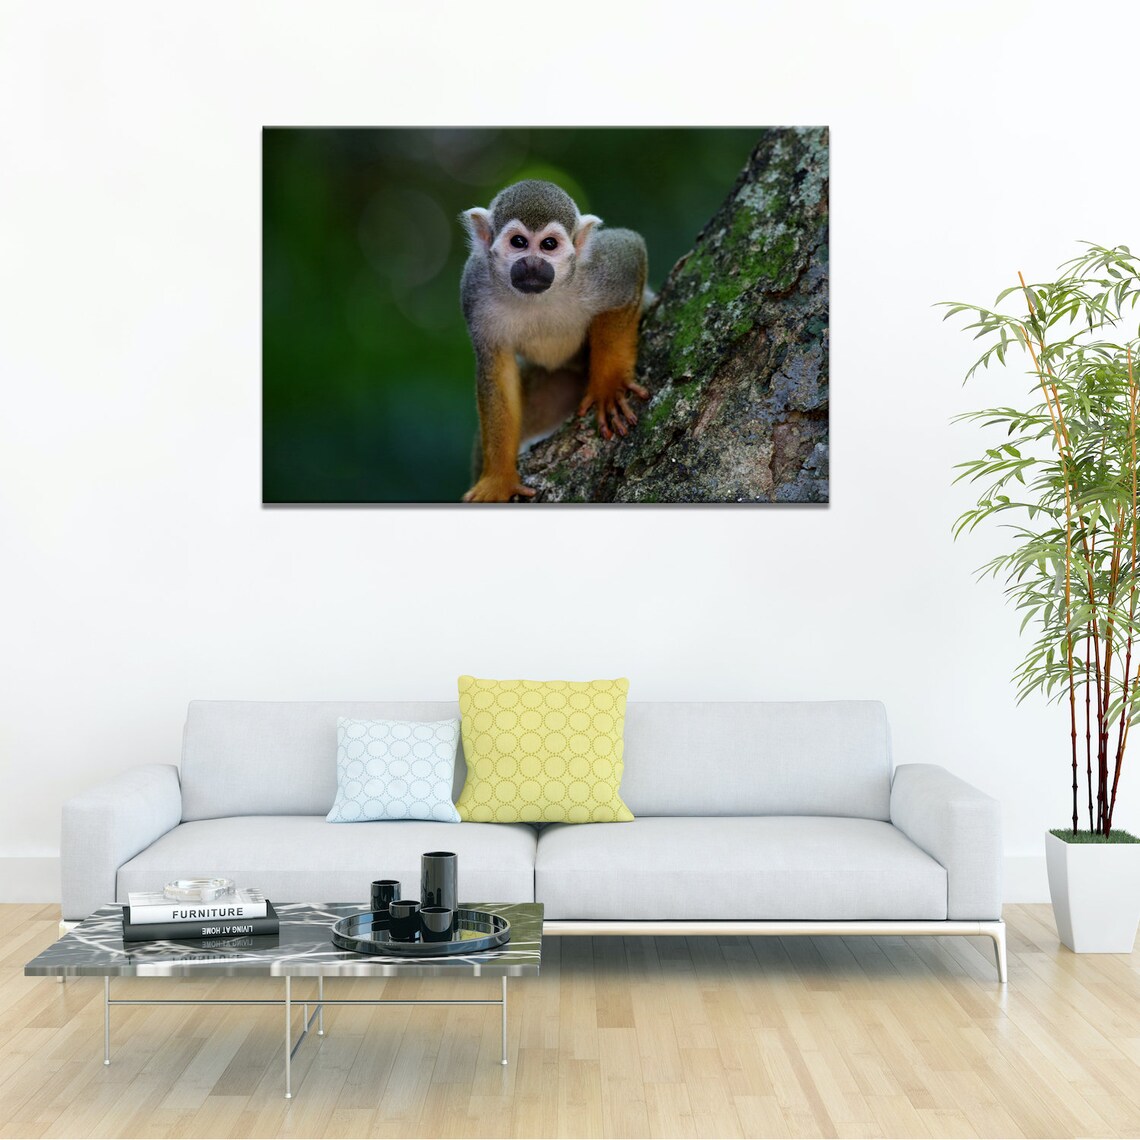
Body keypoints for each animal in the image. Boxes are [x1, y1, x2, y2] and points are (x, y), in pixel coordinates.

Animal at [459, 179, 649, 502]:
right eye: (518, 242)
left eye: (549, 245)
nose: (533, 265)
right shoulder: (474, 288)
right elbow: (496, 370)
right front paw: (498, 479)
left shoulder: (600, 268)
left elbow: (631, 252)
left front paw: (608, 386)